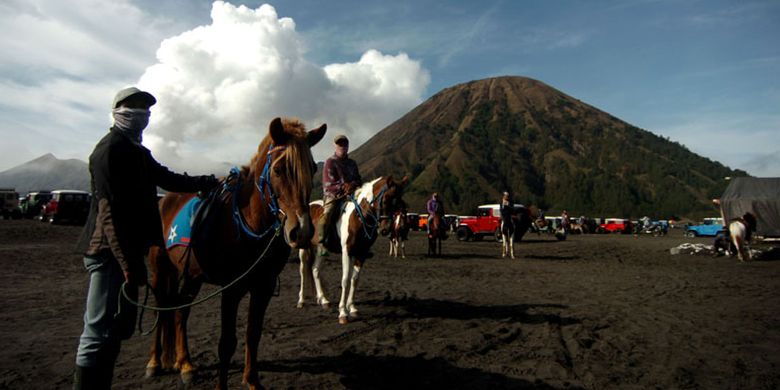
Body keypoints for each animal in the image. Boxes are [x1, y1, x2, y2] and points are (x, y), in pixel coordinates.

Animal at [145, 118, 324, 390]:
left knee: (180, 312)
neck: (248, 224)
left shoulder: (262, 287)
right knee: (161, 309)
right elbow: (226, 344)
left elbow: (253, 333)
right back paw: (155, 362)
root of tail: (164, 200)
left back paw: (185, 364)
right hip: (159, 271)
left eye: (313, 168)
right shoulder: (231, 290)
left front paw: (252, 381)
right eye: (279, 169)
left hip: (191, 276)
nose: (301, 231)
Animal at [298, 176, 408, 322]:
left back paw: (323, 300)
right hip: (303, 249)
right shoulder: (347, 252)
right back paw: (301, 300)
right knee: (303, 271)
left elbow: (354, 280)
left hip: (321, 249)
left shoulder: (361, 253)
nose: (386, 229)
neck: (358, 218)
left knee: (315, 270)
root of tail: (310, 205)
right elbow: (345, 280)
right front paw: (342, 312)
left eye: (398, 203)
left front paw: (352, 308)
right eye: (385, 200)